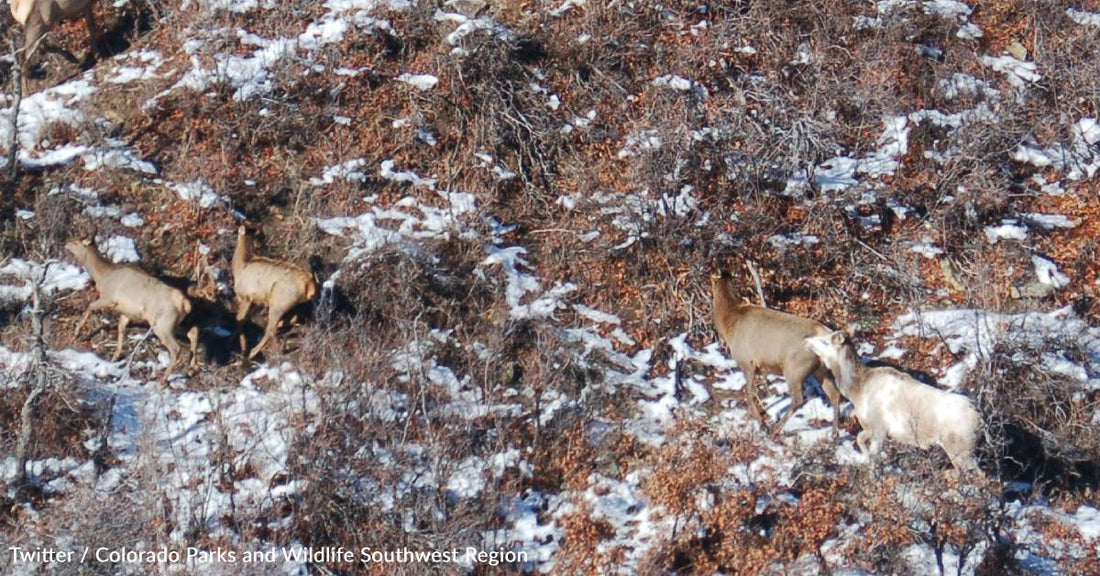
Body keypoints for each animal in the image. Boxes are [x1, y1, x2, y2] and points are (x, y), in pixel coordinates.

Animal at [65, 238, 199, 372]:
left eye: (76, 242)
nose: (66, 244)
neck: (102, 275)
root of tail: (184, 302)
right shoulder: (126, 312)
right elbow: (121, 328)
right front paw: (115, 356)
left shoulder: (109, 297)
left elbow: (90, 306)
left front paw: (77, 332)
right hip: (173, 322)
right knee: (193, 332)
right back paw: (192, 365)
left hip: (162, 323)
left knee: (176, 348)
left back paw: (165, 376)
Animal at [232, 225, 317, 360]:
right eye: (259, 234)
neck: (241, 267)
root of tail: (309, 285)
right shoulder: (256, 302)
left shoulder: (246, 297)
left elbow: (239, 320)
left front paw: (243, 348)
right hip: (296, 304)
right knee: (293, 318)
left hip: (278, 303)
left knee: (271, 329)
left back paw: (253, 352)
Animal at [710, 269, 843, 437]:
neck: (729, 323)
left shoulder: (747, 362)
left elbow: (749, 393)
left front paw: (759, 420)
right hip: (822, 369)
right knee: (835, 395)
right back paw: (834, 433)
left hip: (794, 369)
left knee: (799, 399)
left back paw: (775, 429)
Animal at [804, 330, 981, 473]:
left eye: (825, 341)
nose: (806, 339)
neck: (857, 391)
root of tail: (978, 417)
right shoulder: (870, 427)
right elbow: (859, 439)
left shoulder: (880, 428)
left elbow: (873, 457)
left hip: (960, 448)